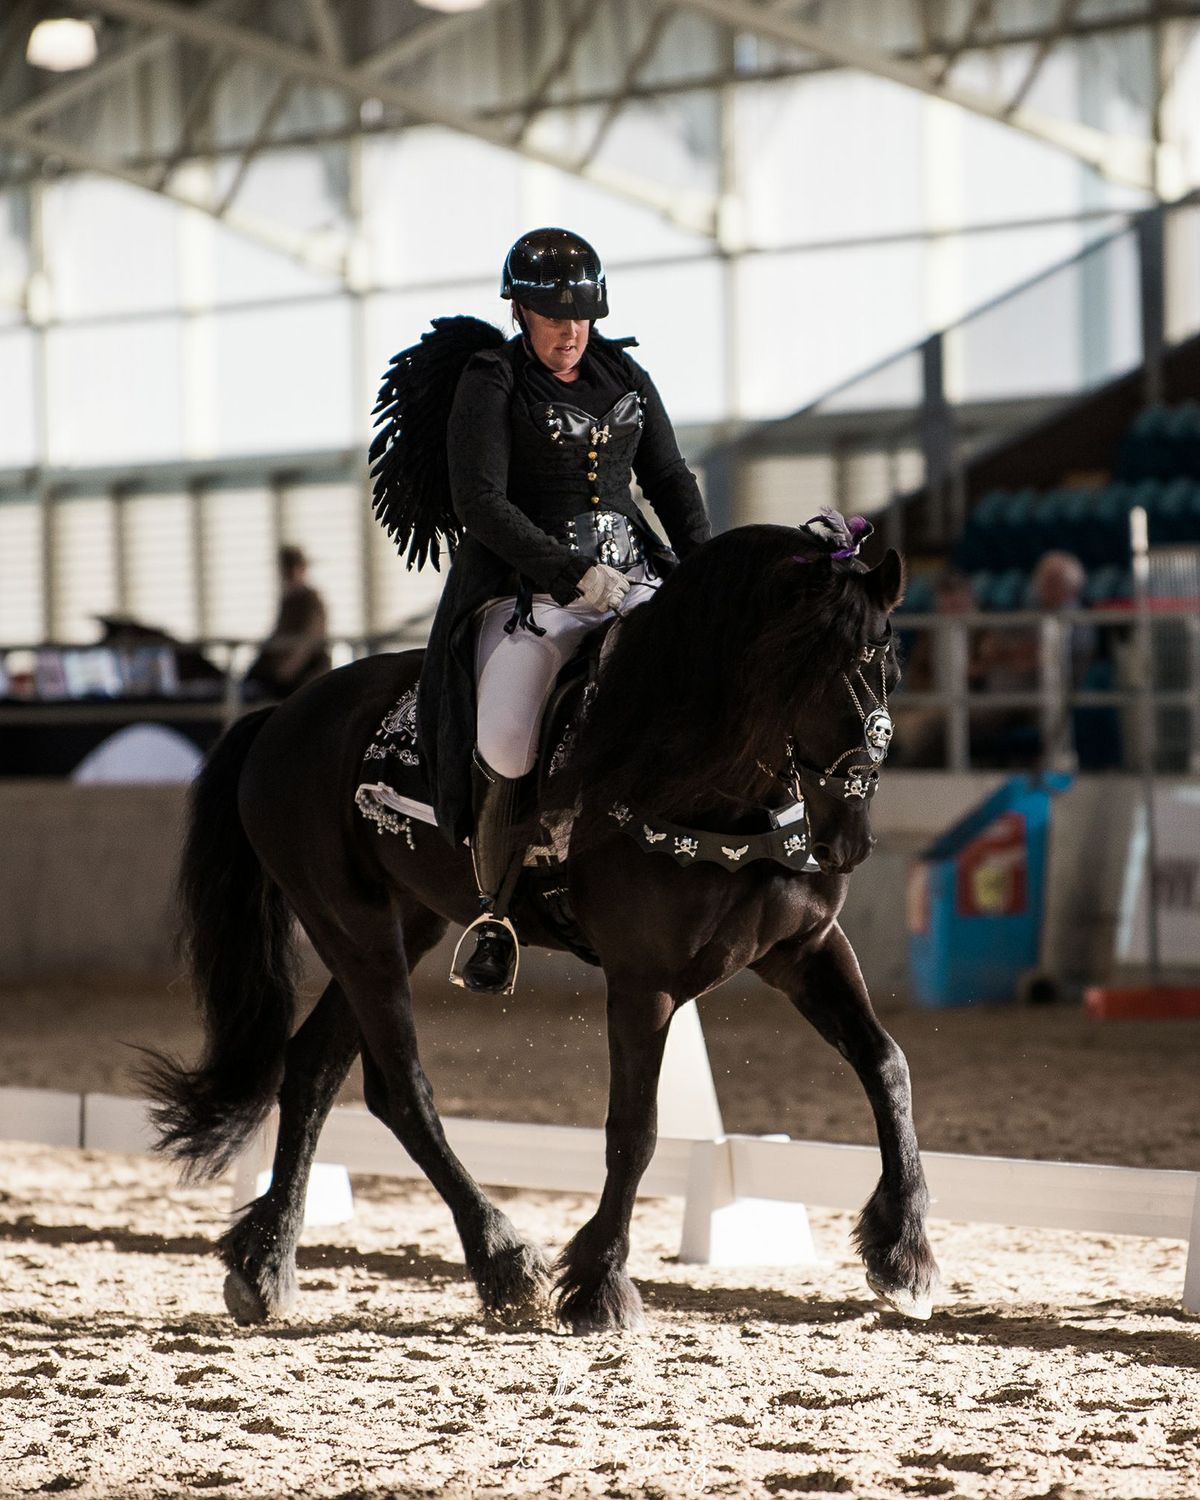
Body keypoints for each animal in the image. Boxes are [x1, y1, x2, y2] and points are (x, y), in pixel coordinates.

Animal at [147, 522, 936, 1332]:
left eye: (886, 662)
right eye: (805, 663)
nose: (846, 837)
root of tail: (283, 716)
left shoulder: (804, 950)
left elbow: (887, 1065)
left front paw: (900, 1253)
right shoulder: (643, 984)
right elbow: (635, 1130)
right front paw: (596, 1286)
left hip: (405, 921)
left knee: (311, 1068)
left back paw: (265, 1263)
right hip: (353, 928)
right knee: (401, 1090)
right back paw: (502, 1261)